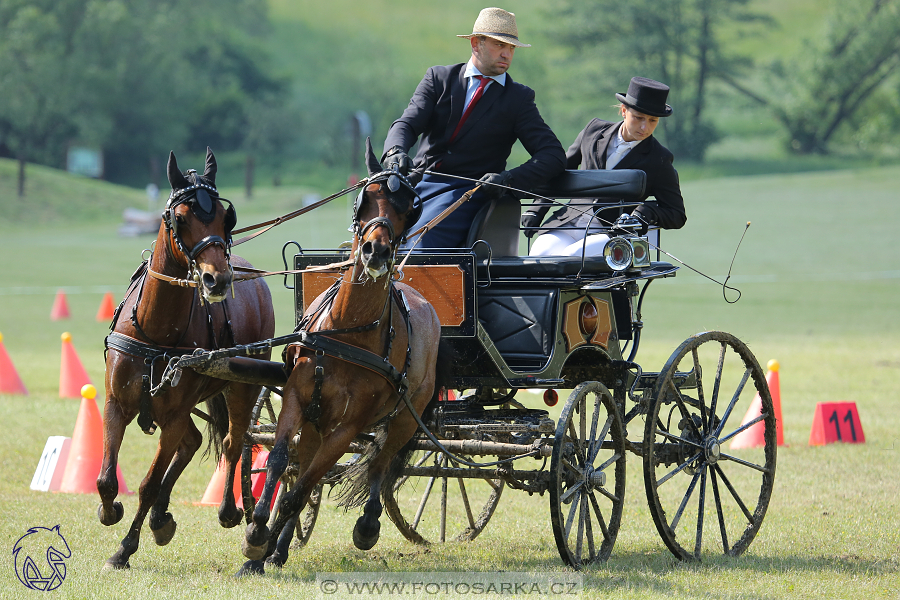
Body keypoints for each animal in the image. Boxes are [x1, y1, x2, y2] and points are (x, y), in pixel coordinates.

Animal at [98, 148, 274, 568]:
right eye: (180, 217)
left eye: (226, 217)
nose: (217, 279)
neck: (154, 329)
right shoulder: (115, 403)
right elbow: (107, 478)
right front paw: (110, 511)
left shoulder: (174, 415)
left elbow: (147, 484)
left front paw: (124, 548)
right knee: (193, 441)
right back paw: (161, 518)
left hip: (242, 388)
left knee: (233, 441)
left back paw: (230, 510)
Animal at [237, 141, 438, 576]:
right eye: (366, 199)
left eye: (407, 208)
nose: (376, 250)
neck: (349, 331)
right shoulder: (297, 399)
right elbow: (279, 461)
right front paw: (258, 534)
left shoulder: (348, 427)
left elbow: (302, 489)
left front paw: (262, 543)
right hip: (317, 420)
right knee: (305, 466)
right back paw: (276, 547)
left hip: (404, 415)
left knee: (380, 463)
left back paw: (367, 525)